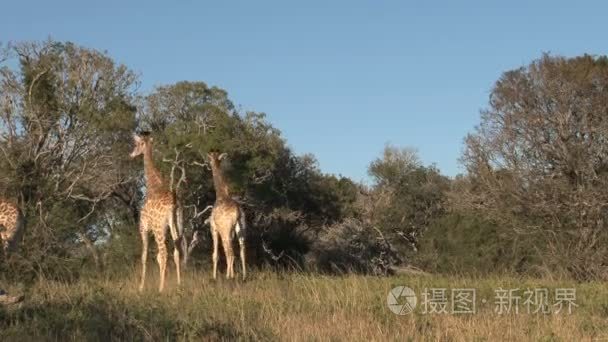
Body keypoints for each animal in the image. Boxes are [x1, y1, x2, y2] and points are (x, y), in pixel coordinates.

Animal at [129, 132, 184, 292]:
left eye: (137, 144)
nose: (131, 154)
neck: (153, 185)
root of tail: (173, 205)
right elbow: (157, 257)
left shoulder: (144, 228)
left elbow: (144, 256)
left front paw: (141, 287)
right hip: (177, 224)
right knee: (176, 251)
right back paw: (179, 284)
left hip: (160, 229)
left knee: (164, 252)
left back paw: (161, 289)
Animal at [208, 151, 246, 280]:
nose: (210, 164)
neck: (221, 194)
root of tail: (238, 211)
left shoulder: (214, 229)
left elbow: (215, 255)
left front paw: (214, 277)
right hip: (241, 229)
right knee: (242, 251)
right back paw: (244, 276)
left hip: (226, 230)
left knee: (230, 252)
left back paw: (230, 276)